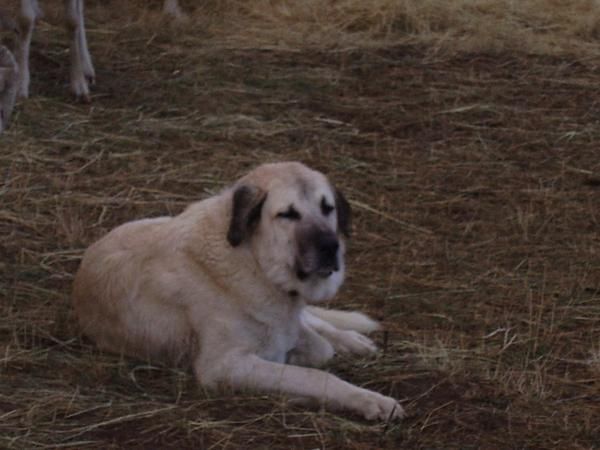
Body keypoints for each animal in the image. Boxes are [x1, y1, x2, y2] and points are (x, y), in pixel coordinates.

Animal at [72, 162, 406, 422]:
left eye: (328, 208)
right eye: (287, 214)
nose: (331, 247)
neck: (252, 261)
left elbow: (318, 347)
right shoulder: (223, 366)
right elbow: (316, 373)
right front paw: (368, 399)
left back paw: (354, 340)